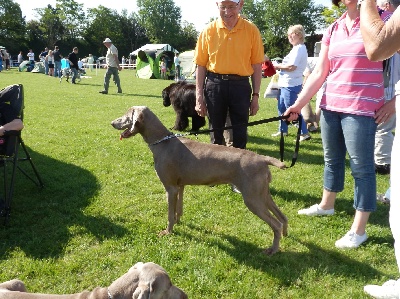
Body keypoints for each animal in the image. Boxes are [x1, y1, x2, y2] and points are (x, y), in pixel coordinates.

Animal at [111, 106, 290, 255]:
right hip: (262, 194)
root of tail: (262, 159)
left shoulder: (170, 187)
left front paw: (168, 232)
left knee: (276, 224)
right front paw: (178, 222)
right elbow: (178, 209)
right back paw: (285, 234)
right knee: (283, 217)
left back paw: (273, 250)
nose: (112, 122)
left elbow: (169, 214)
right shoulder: (180, 186)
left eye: (127, 114)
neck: (163, 142)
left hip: (252, 198)